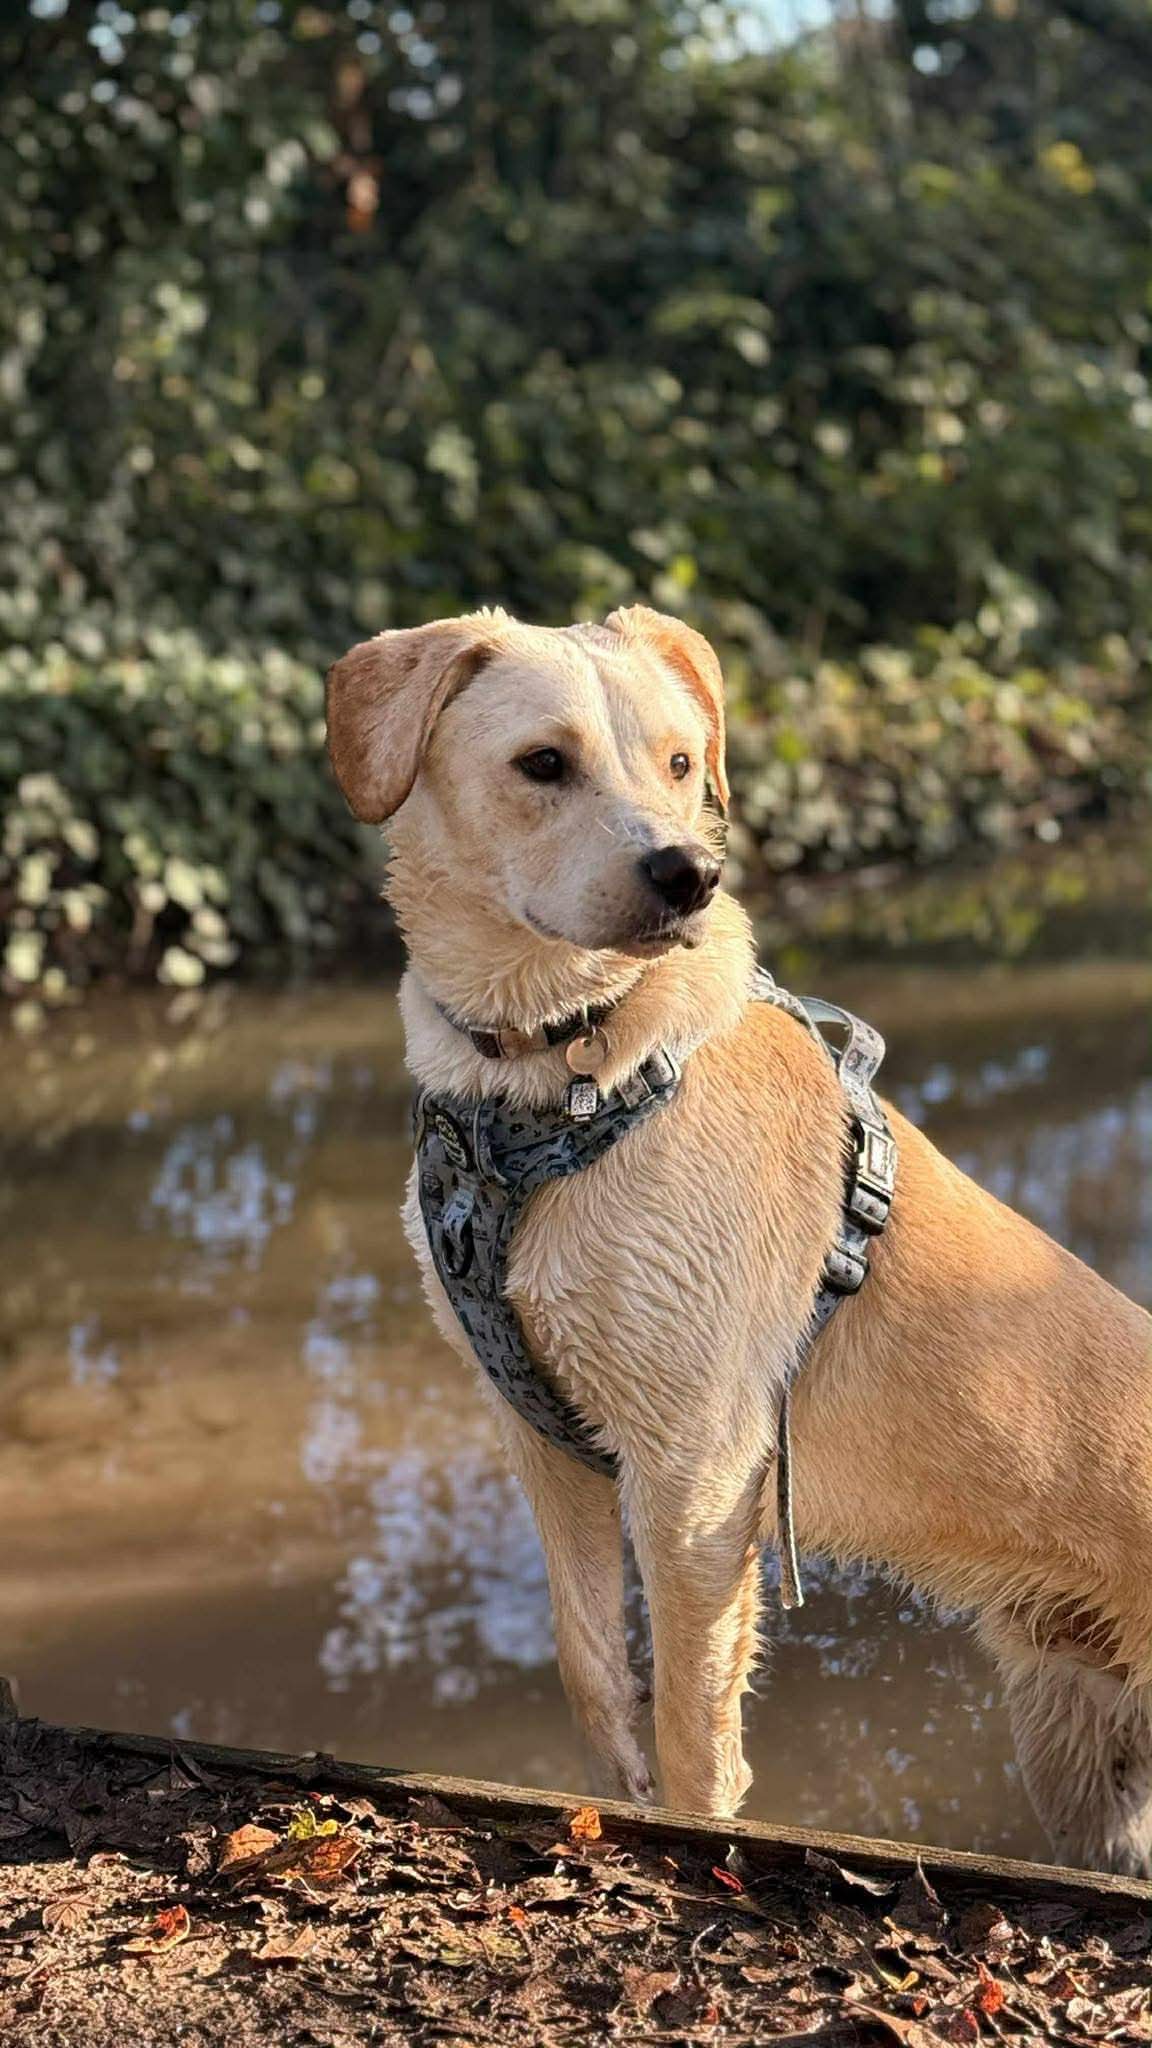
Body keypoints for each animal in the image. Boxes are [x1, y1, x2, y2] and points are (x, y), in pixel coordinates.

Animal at [326, 604, 1152, 1874]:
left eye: (680, 762)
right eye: (542, 763)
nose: (691, 874)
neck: (555, 1072)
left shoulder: (695, 1475)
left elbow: (693, 1738)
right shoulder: (547, 1444)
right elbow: (590, 1668)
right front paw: (602, 1798)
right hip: (1079, 1757)